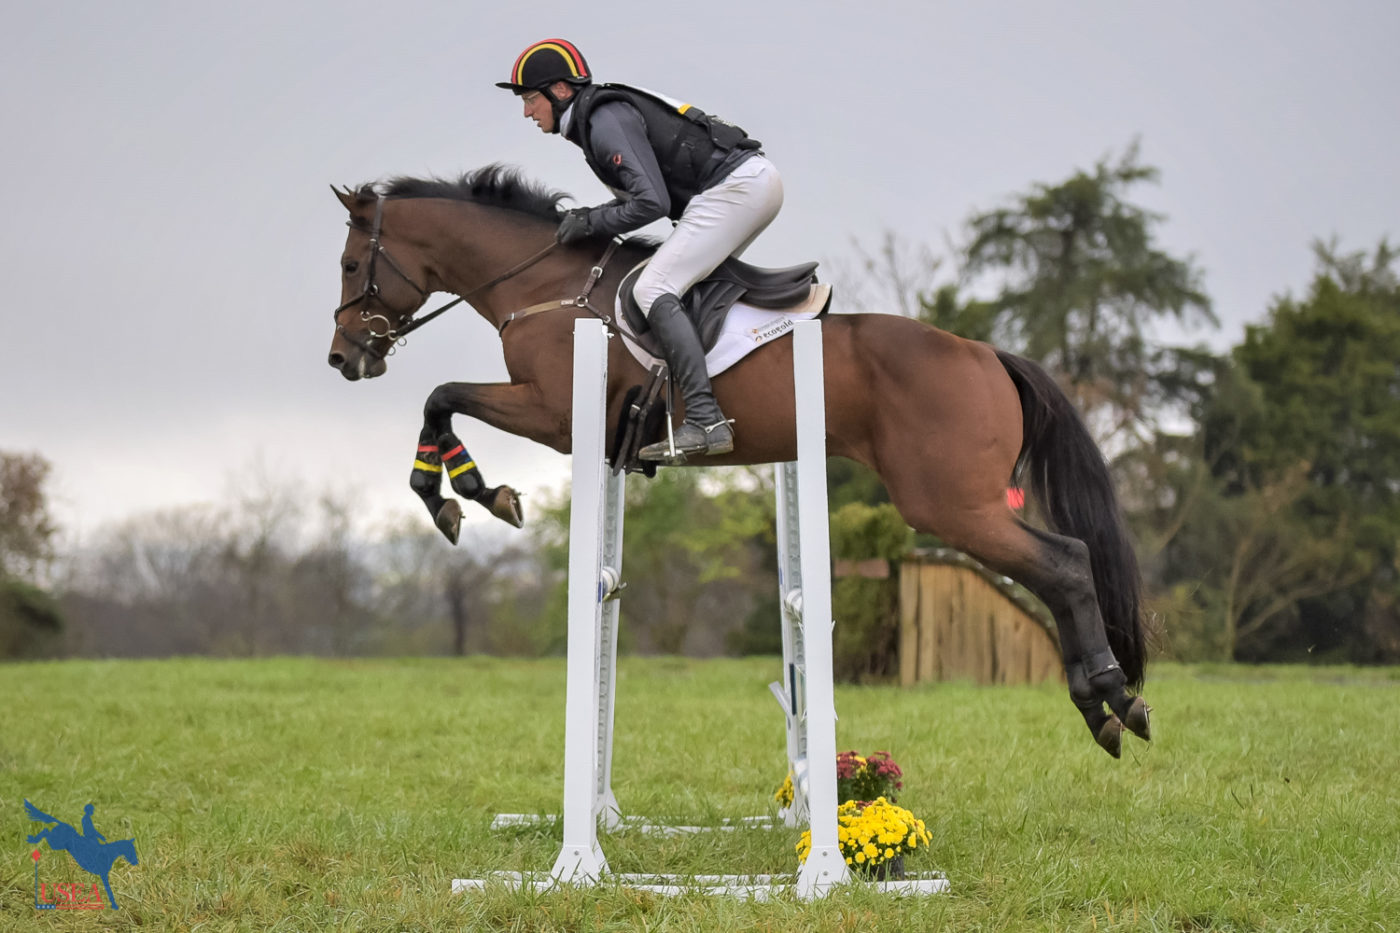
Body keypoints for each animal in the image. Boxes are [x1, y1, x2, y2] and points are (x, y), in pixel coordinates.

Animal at [324, 163, 1148, 750]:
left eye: (349, 265)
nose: (342, 358)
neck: (547, 283)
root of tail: (987, 355)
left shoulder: (554, 413)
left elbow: (441, 395)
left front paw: (467, 497)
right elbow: (441, 400)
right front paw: (465, 497)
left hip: (950, 504)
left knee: (1065, 563)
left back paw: (1112, 699)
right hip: (959, 504)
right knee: (1061, 568)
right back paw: (1108, 708)